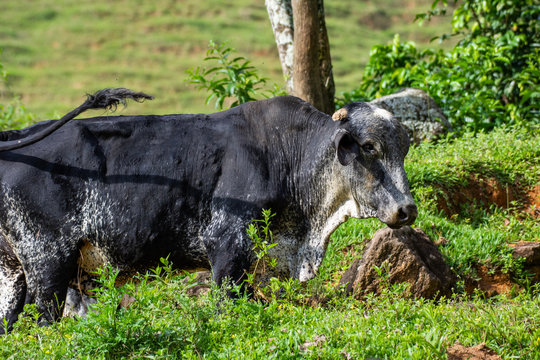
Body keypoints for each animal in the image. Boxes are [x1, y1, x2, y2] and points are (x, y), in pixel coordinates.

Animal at [0, 88, 418, 330]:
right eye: (369, 147)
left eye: (404, 148)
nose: (407, 210)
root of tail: (16, 137)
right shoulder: (227, 246)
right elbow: (226, 311)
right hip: (47, 263)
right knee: (43, 322)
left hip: (13, 272)